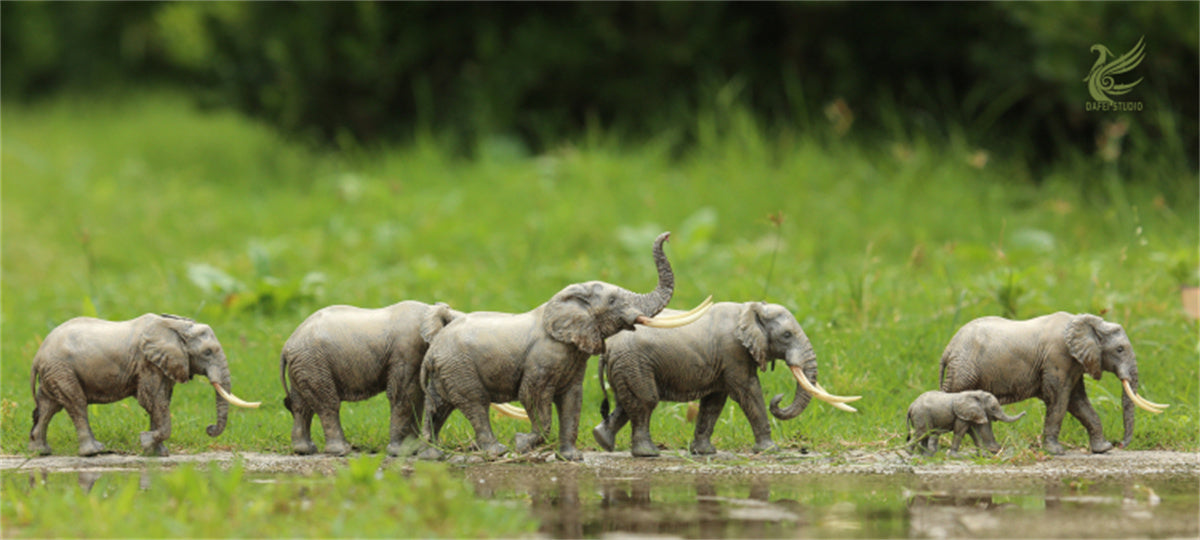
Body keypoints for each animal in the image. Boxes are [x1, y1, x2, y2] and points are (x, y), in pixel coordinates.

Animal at [29, 314, 260, 457]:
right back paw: (94, 451)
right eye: (208, 352)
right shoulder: (147, 362)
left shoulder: (161, 363)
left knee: (49, 406)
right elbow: (153, 400)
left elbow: (161, 401)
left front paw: (157, 453)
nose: (209, 428)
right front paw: (146, 441)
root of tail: (38, 355)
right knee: (76, 404)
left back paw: (40, 451)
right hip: (62, 369)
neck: (176, 327)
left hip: (55, 372)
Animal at [280, 300, 463, 456]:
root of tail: (287, 345)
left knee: (301, 405)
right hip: (314, 362)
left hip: (304, 365)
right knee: (327, 404)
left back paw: (304, 450)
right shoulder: (407, 349)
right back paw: (341, 451)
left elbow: (416, 395)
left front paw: (413, 450)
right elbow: (404, 394)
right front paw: (401, 453)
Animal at [419, 232, 712, 461]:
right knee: (475, 404)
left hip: (447, 370)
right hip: (459, 367)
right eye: (613, 301)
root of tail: (436, 343)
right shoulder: (543, 358)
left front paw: (572, 458)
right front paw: (522, 444)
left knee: (437, 406)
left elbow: (573, 399)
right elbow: (532, 395)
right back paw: (497, 452)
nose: (668, 236)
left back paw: (431, 455)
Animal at [592, 301, 860, 457]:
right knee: (646, 401)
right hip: (634, 362)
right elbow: (748, 392)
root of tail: (608, 348)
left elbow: (714, 402)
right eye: (786, 335)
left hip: (628, 366)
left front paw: (704, 453)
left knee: (628, 403)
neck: (750, 309)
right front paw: (771, 450)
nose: (779, 398)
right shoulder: (734, 352)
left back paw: (603, 440)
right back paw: (648, 454)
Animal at [939, 312, 1168, 455]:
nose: (1120, 444)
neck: (1082, 321)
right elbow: (1059, 400)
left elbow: (1078, 402)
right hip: (964, 371)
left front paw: (1103, 449)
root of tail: (948, 349)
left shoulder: (1074, 364)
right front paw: (1056, 452)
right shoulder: (1058, 359)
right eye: (1120, 350)